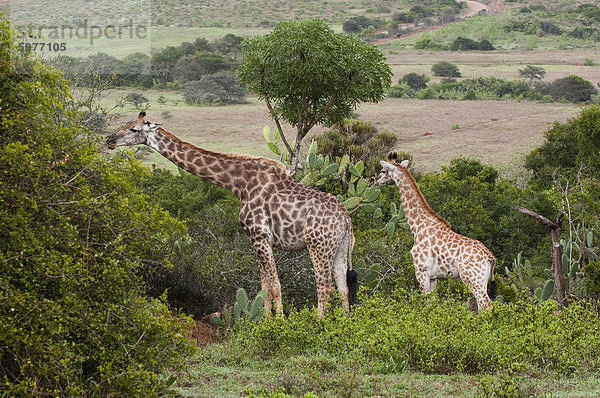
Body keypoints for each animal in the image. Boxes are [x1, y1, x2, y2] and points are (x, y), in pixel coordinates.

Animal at [106, 112, 358, 318]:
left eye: (134, 129)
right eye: (124, 124)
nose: (109, 140)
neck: (239, 185)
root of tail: (346, 218)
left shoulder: (260, 235)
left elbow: (275, 286)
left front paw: (280, 325)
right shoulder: (258, 240)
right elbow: (265, 287)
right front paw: (264, 324)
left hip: (317, 245)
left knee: (324, 286)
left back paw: (318, 323)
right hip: (339, 247)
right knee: (342, 286)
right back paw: (344, 324)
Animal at [376, 154, 496, 312]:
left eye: (383, 171)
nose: (376, 182)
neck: (417, 226)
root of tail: (490, 257)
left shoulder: (421, 270)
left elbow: (426, 304)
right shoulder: (433, 277)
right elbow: (432, 304)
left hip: (472, 279)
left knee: (487, 305)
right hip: (482, 280)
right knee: (482, 307)